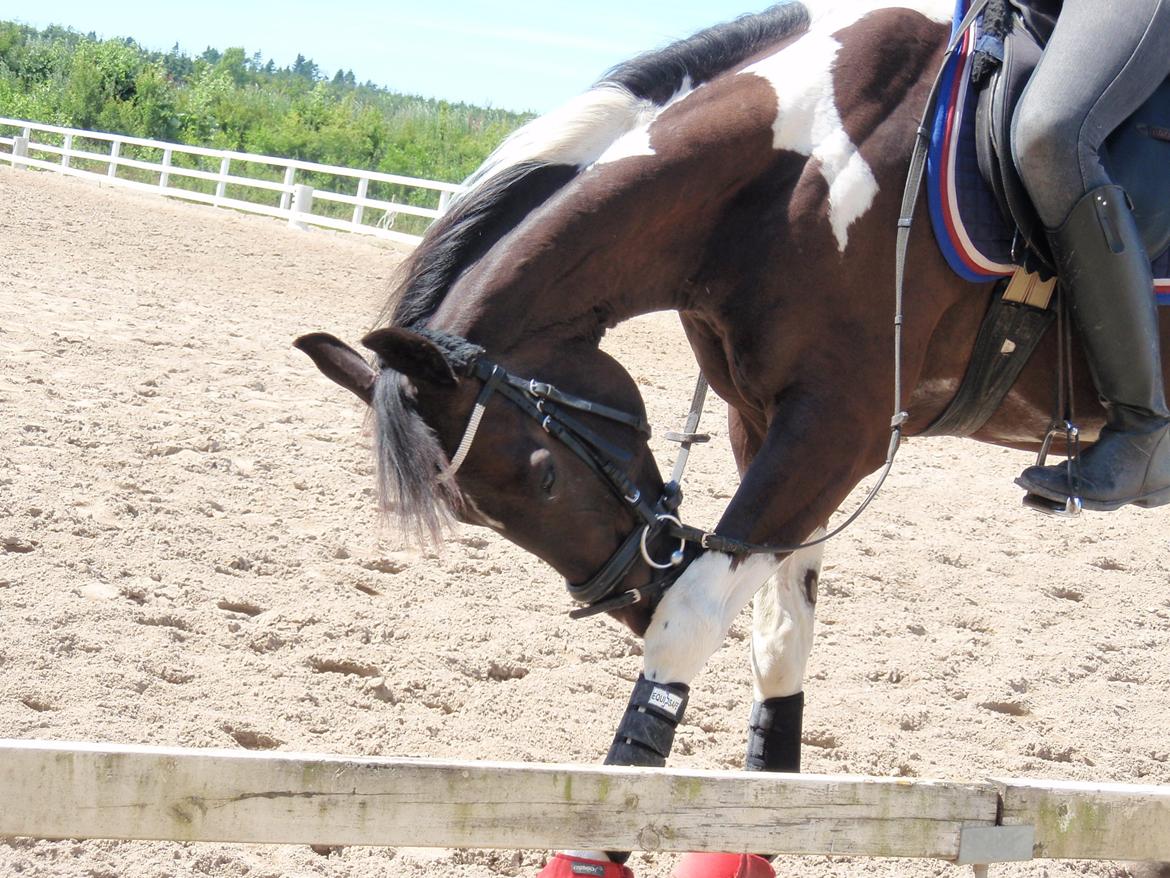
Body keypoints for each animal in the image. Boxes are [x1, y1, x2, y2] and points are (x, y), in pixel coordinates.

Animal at [296, 1, 1169, 874]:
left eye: (544, 476)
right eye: (470, 513)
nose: (629, 600)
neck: (787, 180)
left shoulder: (834, 432)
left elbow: (693, 623)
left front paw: (598, 835)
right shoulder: (763, 423)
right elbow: (780, 637)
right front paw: (762, 830)